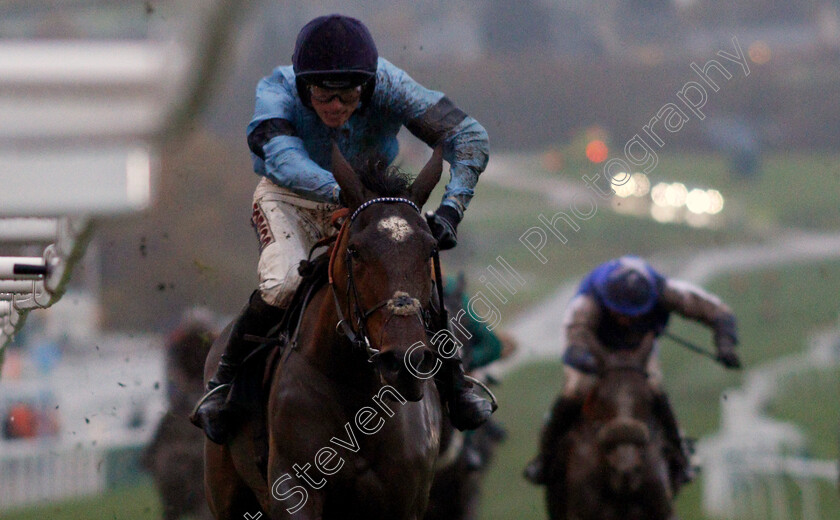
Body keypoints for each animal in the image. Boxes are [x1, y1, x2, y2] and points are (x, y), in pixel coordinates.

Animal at [203, 143, 446, 520]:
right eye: (355, 251)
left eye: (430, 248)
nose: (405, 361)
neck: (356, 391)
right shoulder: (293, 488)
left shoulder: (406, 498)